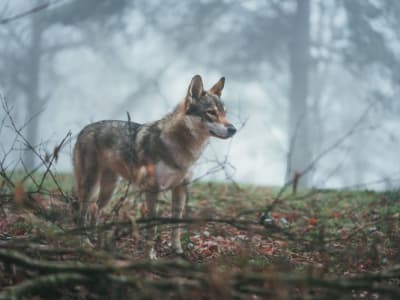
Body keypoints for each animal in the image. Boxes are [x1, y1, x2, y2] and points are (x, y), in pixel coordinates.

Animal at [73, 74, 236, 255]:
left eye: (224, 113)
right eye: (211, 113)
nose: (233, 129)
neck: (181, 147)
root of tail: (84, 129)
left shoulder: (180, 189)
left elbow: (176, 226)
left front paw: (177, 251)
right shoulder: (152, 190)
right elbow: (153, 228)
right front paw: (151, 254)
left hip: (109, 189)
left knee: (95, 210)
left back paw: (95, 240)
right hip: (90, 186)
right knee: (82, 215)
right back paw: (84, 242)